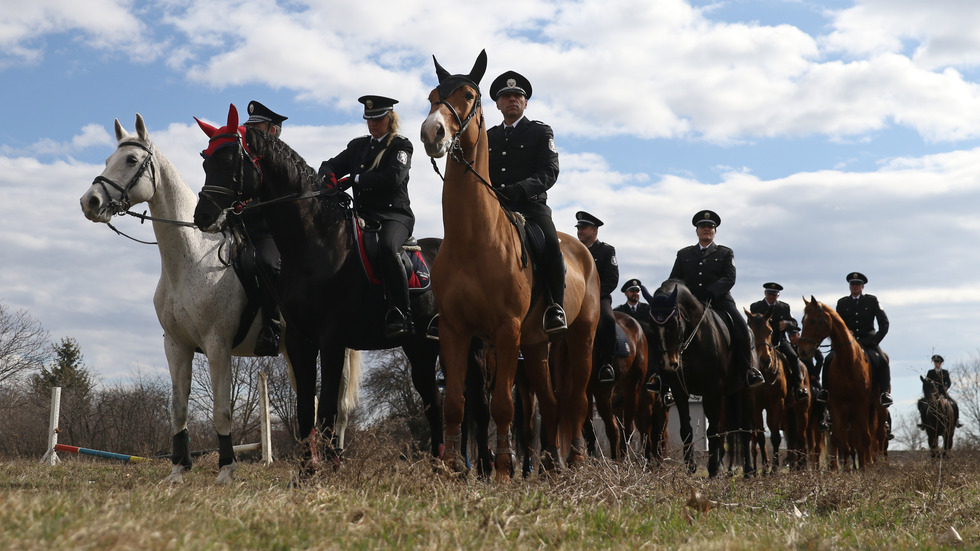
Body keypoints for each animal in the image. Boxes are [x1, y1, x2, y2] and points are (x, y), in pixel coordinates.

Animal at [80, 114, 362, 486]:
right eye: (107, 160)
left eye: (130, 160)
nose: (90, 202)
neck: (189, 259)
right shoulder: (176, 346)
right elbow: (178, 409)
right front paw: (177, 470)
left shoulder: (217, 345)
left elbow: (222, 410)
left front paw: (226, 470)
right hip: (294, 349)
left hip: (334, 345)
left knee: (340, 407)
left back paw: (334, 460)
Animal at [420, 52, 596, 484]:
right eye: (432, 96)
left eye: (468, 95)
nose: (432, 132)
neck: (473, 237)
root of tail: (582, 251)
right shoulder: (454, 331)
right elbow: (456, 403)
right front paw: (452, 468)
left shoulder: (505, 330)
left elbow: (501, 404)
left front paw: (501, 471)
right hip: (535, 346)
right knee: (550, 403)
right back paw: (549, 464)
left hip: (578, 338)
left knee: (575, 401)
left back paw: (575, 462)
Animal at [796, 298, 880, 470]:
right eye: (802, 321)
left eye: (812, 320)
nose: (802, 351)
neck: (848, 362)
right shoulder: (836, 403)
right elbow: (837, 439)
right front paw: (836, 469)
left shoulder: (861, 403)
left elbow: (865, 437)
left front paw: (864, 469)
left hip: (871, 407)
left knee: (869, 436)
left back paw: (868, 463)